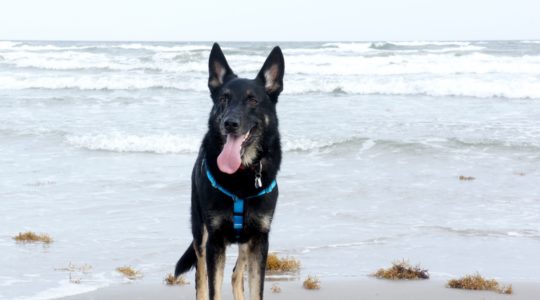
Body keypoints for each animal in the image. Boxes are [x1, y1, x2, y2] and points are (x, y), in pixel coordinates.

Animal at [176, 42, 286, 300]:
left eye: (253, 100)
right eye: (224, 99)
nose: (230, 123)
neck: (241, 176)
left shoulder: (259, 240)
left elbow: (256, 290)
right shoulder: (214, 241)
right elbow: (212, 288)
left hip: (246, 242)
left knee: (236, 275)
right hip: (200, 233)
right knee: (201, 278)